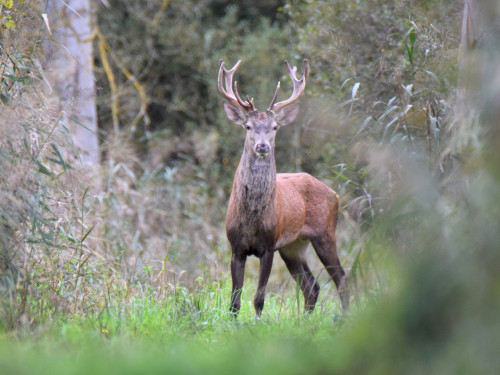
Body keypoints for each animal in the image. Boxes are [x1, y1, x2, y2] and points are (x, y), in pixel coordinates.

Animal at [217, 58, 350, 318]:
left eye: (275, 127)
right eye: (248, 126)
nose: (262, 146)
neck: (251, 219)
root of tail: (335, 194)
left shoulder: (269, 245)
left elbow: (259, 297)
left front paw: (257, 323)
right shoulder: (236, 246)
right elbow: (234, 301)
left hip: (325, 234)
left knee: (341, 279)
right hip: (293, 246)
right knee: (312, 286)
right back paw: (305, 321)